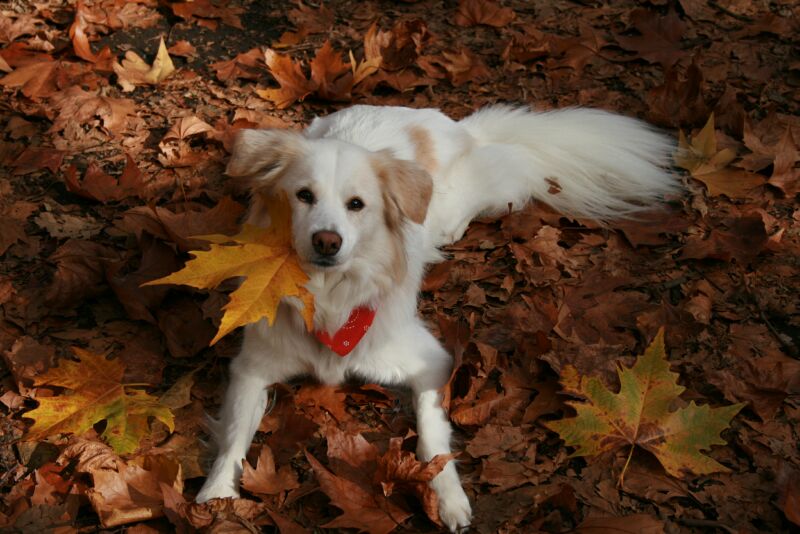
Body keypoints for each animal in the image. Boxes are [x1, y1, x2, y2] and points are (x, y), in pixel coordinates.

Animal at [197, 104, 680, 532]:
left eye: (357, 205)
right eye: (303, 196)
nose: (327, 241)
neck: (330, 296)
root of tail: (453, 125)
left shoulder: (430, 362)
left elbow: (432, 434)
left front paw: (448, 496)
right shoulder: (252, 367)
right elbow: (235, 435)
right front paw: (216, 494)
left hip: (462, 199)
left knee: (507, 181)